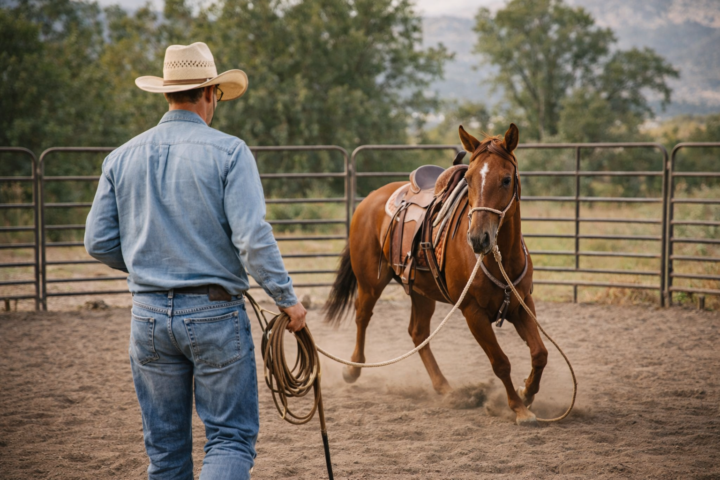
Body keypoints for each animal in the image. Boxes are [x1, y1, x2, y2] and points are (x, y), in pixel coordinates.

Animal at [323, 123, 547, 425]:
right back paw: (353, 369)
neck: (500, 259)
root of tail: (369, 200)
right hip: (370, 282)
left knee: (418, 332)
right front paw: (519, 408)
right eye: (469, 179)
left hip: (421, 291)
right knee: (362, 315)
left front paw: (527, 392)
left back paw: (445, 388)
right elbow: (500, 362)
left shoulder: (521, 304)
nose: (478, 238)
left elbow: (540, 353)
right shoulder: (473, 312)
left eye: (506, 179)